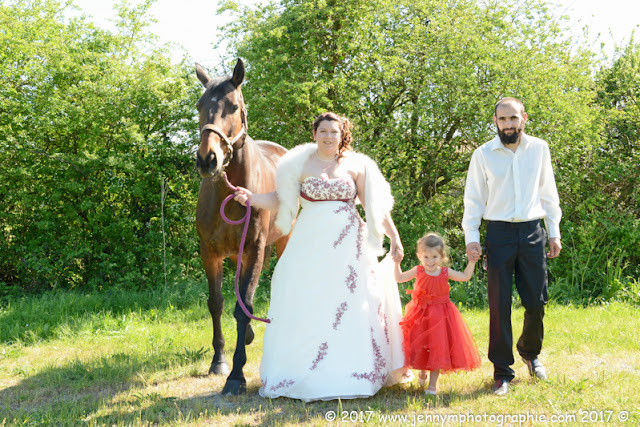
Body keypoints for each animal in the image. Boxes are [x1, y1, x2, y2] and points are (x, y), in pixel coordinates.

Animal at [192, 58, 288, 396]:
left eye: (233, 106)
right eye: (199, 106)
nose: (207, 159)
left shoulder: (253, 250)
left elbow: (243, 306)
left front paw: (236, 374)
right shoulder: (210, 253)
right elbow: (217, 303)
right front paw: (219, 361)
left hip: (280, 243)